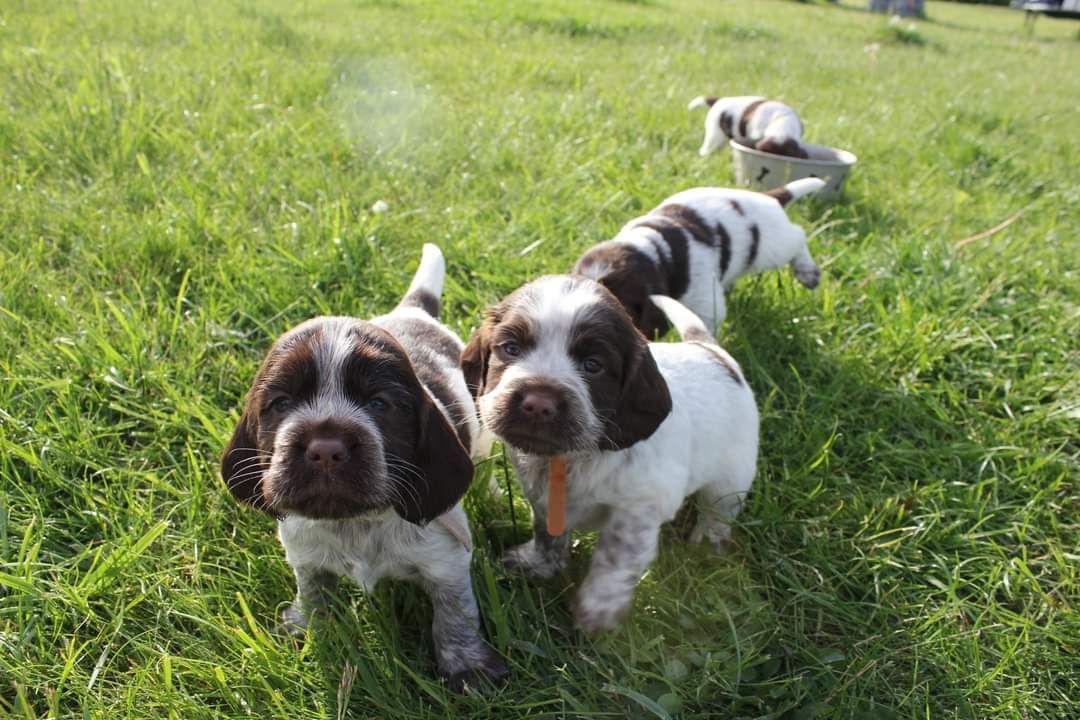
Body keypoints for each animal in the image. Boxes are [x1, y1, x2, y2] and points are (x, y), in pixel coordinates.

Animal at [221, 245, 507, 690]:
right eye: (282, 403)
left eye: (379, 404)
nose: (325, 448)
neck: (356, 522)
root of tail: (413, 311)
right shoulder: (304, 553)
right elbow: (313, 592)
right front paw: (305, 627)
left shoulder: (447, 561)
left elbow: (453, 615)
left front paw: (466, 665)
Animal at [460, 278, 756, 634]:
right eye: (511, 348)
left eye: (593, 365)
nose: (537, 404)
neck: (571, 457)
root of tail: (711, 350)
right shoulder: (542, 498)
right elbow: (548, 533)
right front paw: (540, 564)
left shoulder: (638, 509)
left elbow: (614, 558)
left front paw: (597, 610)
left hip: (731, 477)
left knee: (718, 511)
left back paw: (708, 541)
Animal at [578, 179, 820, 338]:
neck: (654, 248)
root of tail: (768, 197)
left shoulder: (705, 304)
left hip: (772, 247)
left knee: (798, 236)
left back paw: (808, 272)